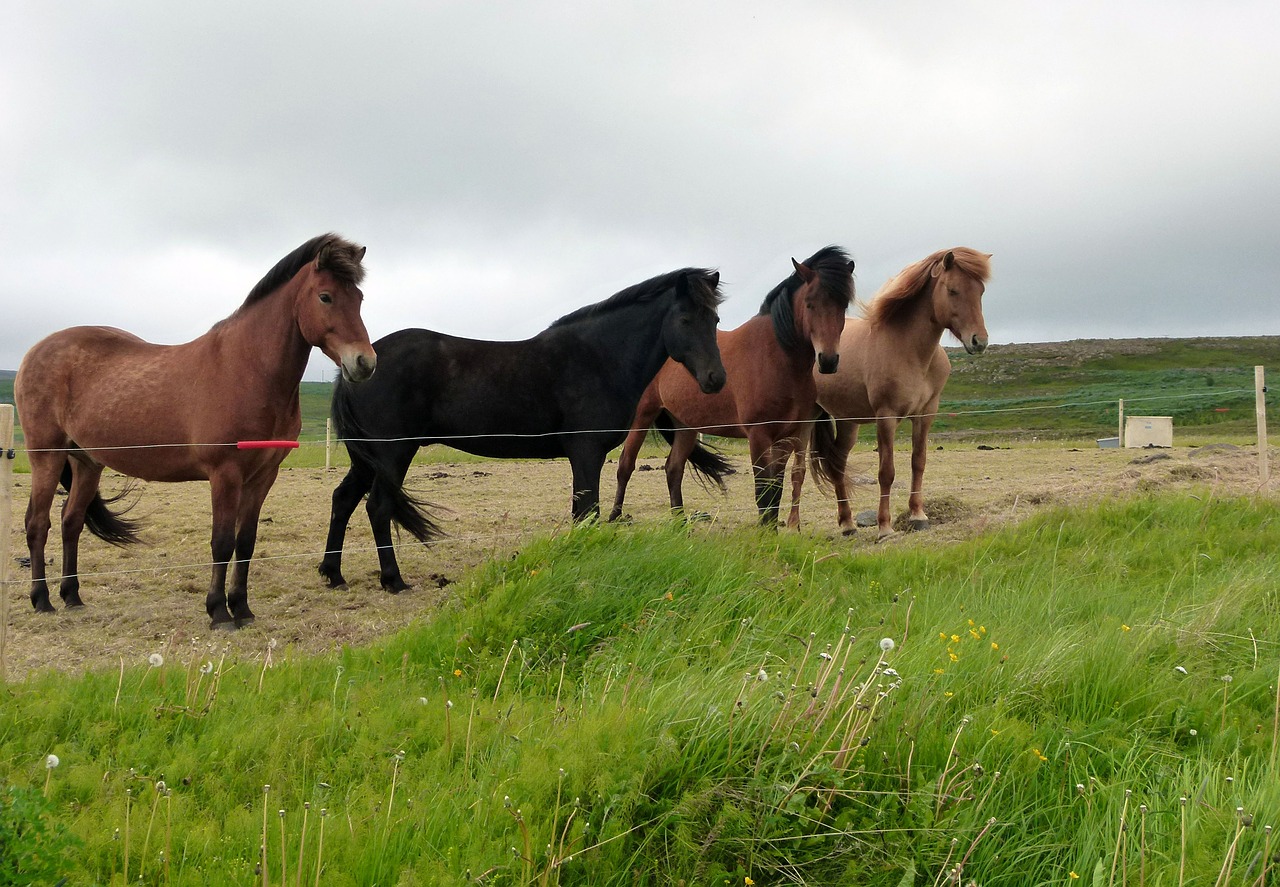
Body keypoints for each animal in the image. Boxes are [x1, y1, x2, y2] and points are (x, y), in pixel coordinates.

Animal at [15, 231, 373, 627]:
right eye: (325, 296)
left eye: (358, 298)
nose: (365, 362)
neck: (246, 368)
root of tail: (34, 352)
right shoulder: (225, 474)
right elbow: (222, 542)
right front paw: (219, 611)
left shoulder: (263, 477)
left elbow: (245, 542)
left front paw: (242, 608)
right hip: (46, 456)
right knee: (38, 523)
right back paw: (42, 599)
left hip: (87, 463)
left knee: (71, 522)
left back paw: (72, 596)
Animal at [317, 266, 732, 591]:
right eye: (685, 320)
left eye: (714, 321)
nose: (716, 379)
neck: (598, 358)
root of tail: (358, 365)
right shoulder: (586, 452)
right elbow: (588, 512)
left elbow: (581, 512)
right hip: (393, 454)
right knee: (378, 507)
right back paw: (393, 580)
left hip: (366, 459)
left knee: (343, 500)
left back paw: (333, 574)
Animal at [606, 244, 855, 524]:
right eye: (810, 304)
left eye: (843, 305)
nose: (828, 360)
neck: (775, 358)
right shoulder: (758, 435)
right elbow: (762, 491)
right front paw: (766, 529)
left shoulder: (787, 436)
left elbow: (776, 489)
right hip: (643, 416)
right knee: (626, 464)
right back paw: (615, 516)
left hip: (686, 425)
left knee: (673, 468)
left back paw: (680, 523)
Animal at [788, 245, 988, 535]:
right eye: (952, 290)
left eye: (981, 291)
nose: (979, 341)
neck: (910, 351)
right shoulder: (887, 416)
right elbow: (887, 472)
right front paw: (884, 526)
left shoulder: (925, 415)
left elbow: (918, 462)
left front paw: (918, 515)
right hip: (806, 420)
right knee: (798, 471)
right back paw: (793, 525)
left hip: (849, 422)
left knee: (837, 465)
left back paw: (848, 524)